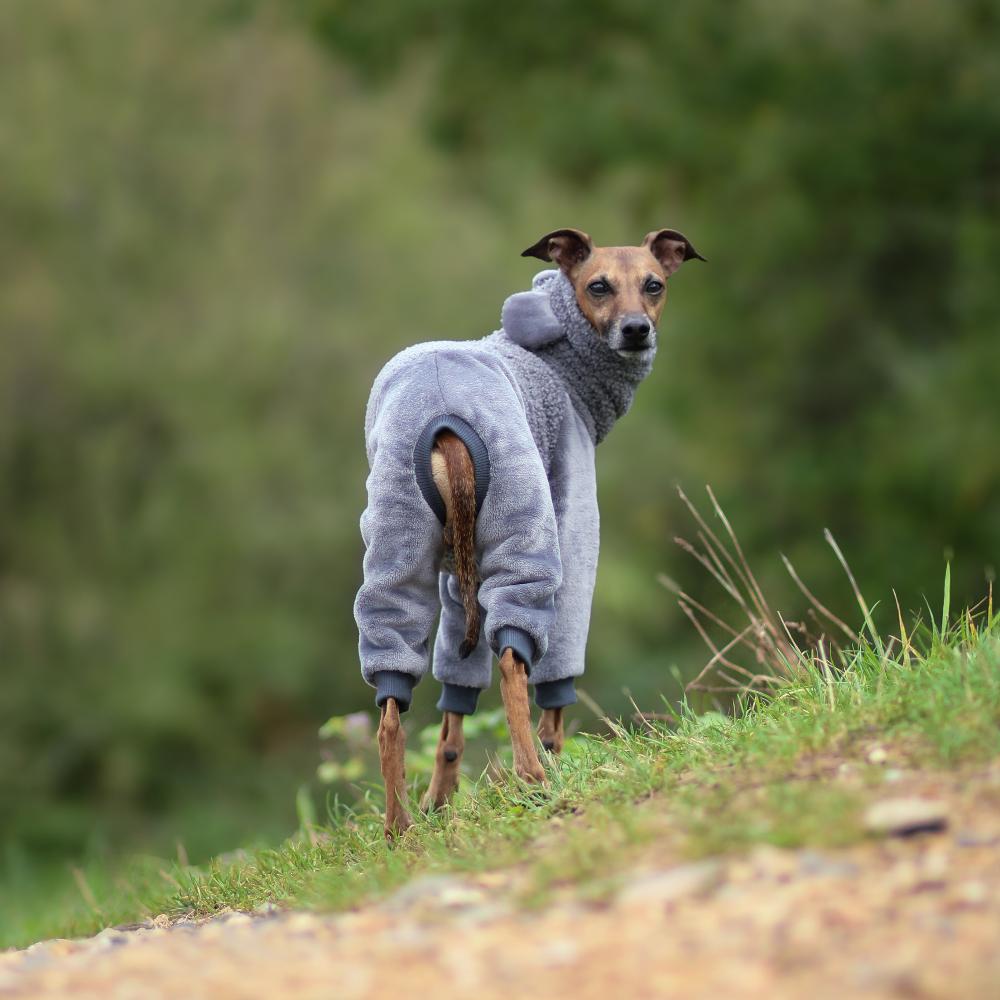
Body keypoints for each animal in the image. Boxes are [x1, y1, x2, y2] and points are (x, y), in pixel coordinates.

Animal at [354, 227, 704, 836]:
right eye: (598, 286)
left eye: (654, 284)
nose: (637, 330)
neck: (560, 361)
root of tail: (444, 420)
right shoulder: (572, 519)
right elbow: (554, 691)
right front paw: (552, 762)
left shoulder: (455, 584)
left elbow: (452, 713)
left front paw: (440, 801)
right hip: (527, 540)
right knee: (514, 665)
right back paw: (534, 777)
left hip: (400, 551)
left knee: (391, 705)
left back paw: (401, 826)